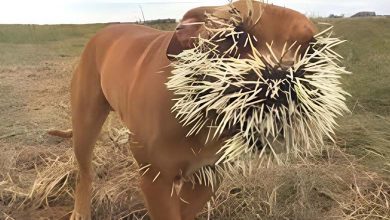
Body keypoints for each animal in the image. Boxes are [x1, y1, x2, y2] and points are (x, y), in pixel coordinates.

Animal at [51, 0, 316, 219]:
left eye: (311, 48)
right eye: (235, 36)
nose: (284, 79)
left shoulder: (208, 176)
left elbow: (186, 209)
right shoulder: (156, 180)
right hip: (85, 124)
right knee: (85, 172)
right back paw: (81, 210)